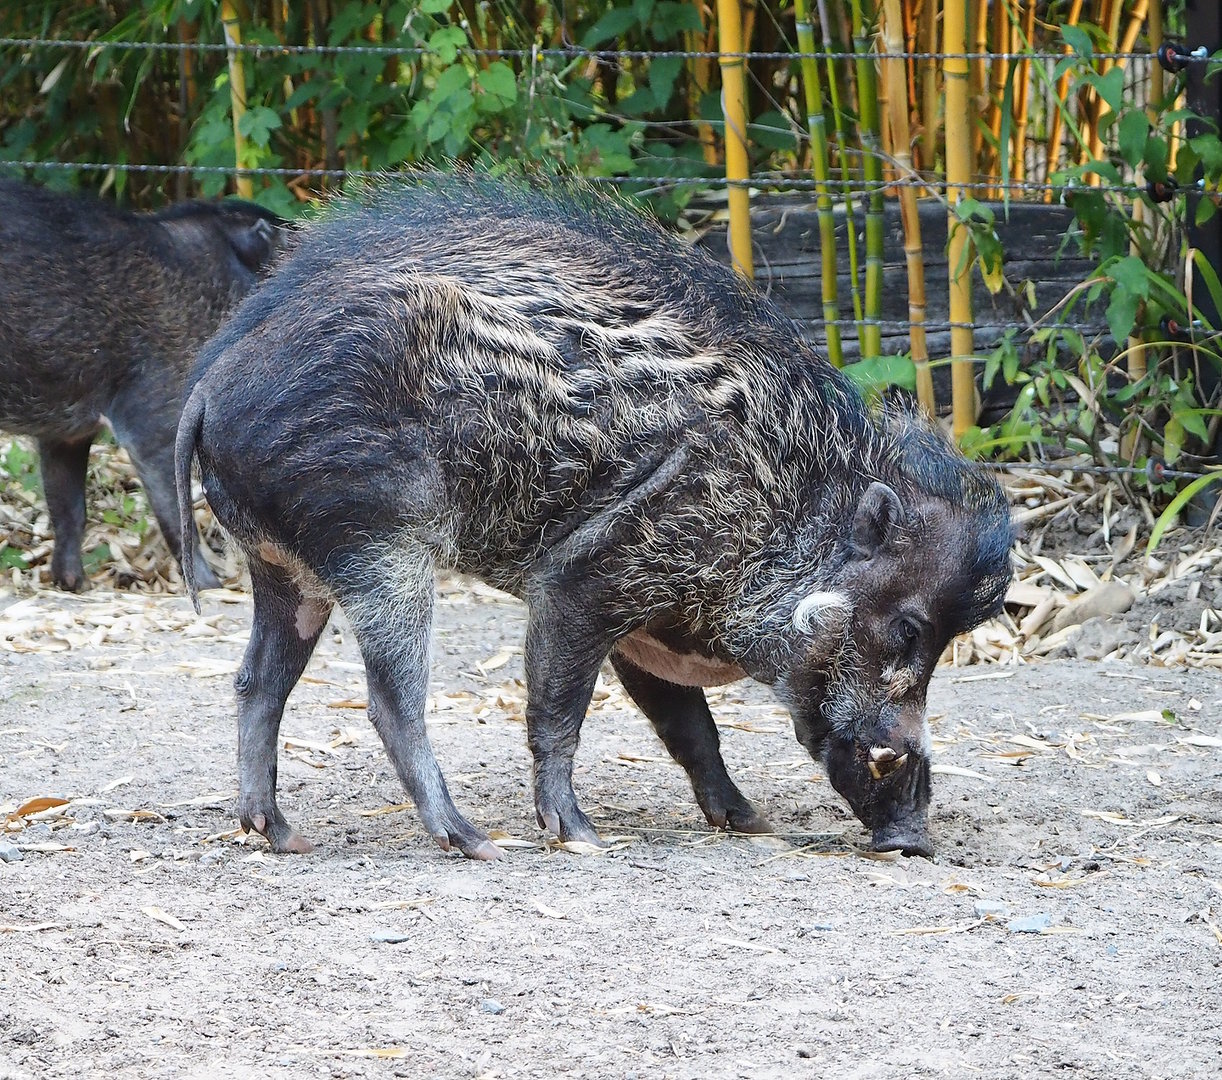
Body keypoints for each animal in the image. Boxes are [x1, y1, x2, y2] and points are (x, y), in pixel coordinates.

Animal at [0, 180, 285, 591]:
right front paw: (211, 587)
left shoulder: (66, 434)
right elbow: (177, 515)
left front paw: (74, 584)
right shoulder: (151, 421)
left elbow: (69, 509)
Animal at [175, 173, 1014, 860]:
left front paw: (750, 822)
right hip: (377, 543)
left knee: (257, 682)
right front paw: (578, 836)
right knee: (391, 701)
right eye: (907, 630)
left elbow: (692, 730)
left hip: (285, 568)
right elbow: (558, 710)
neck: (786, 501)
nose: (913, 840)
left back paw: (279, 835)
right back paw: (474, 843)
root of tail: (211, 384)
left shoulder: (646, 628)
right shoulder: (586, 580)